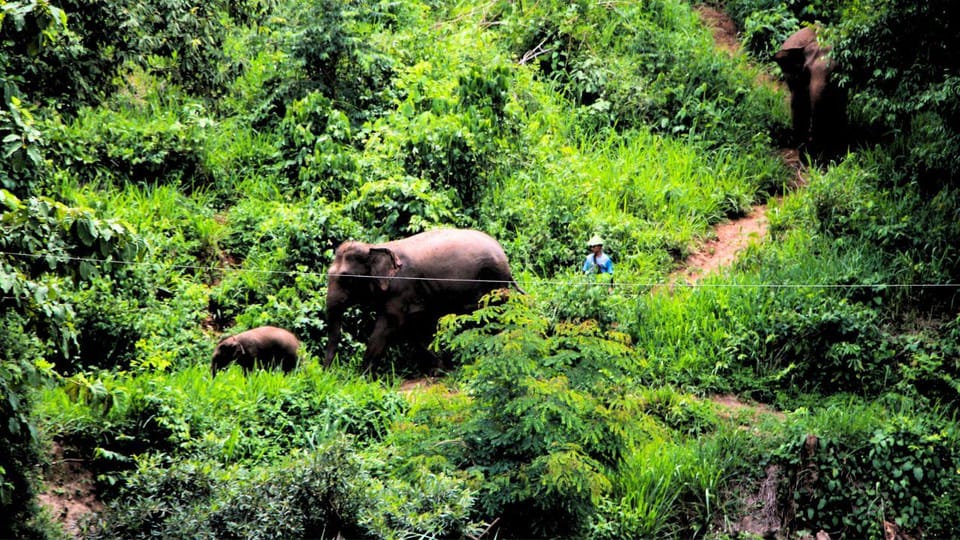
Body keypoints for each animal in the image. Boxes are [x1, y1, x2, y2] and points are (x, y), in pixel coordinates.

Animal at [328, 228, 524, 372]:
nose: (329, 374)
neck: (375, 246)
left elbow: (388, 327)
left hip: (492, 282)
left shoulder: (401, 289)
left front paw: (361, 377)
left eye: (346, 278)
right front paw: (440, 369)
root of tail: (505, 259)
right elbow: (415, 330)